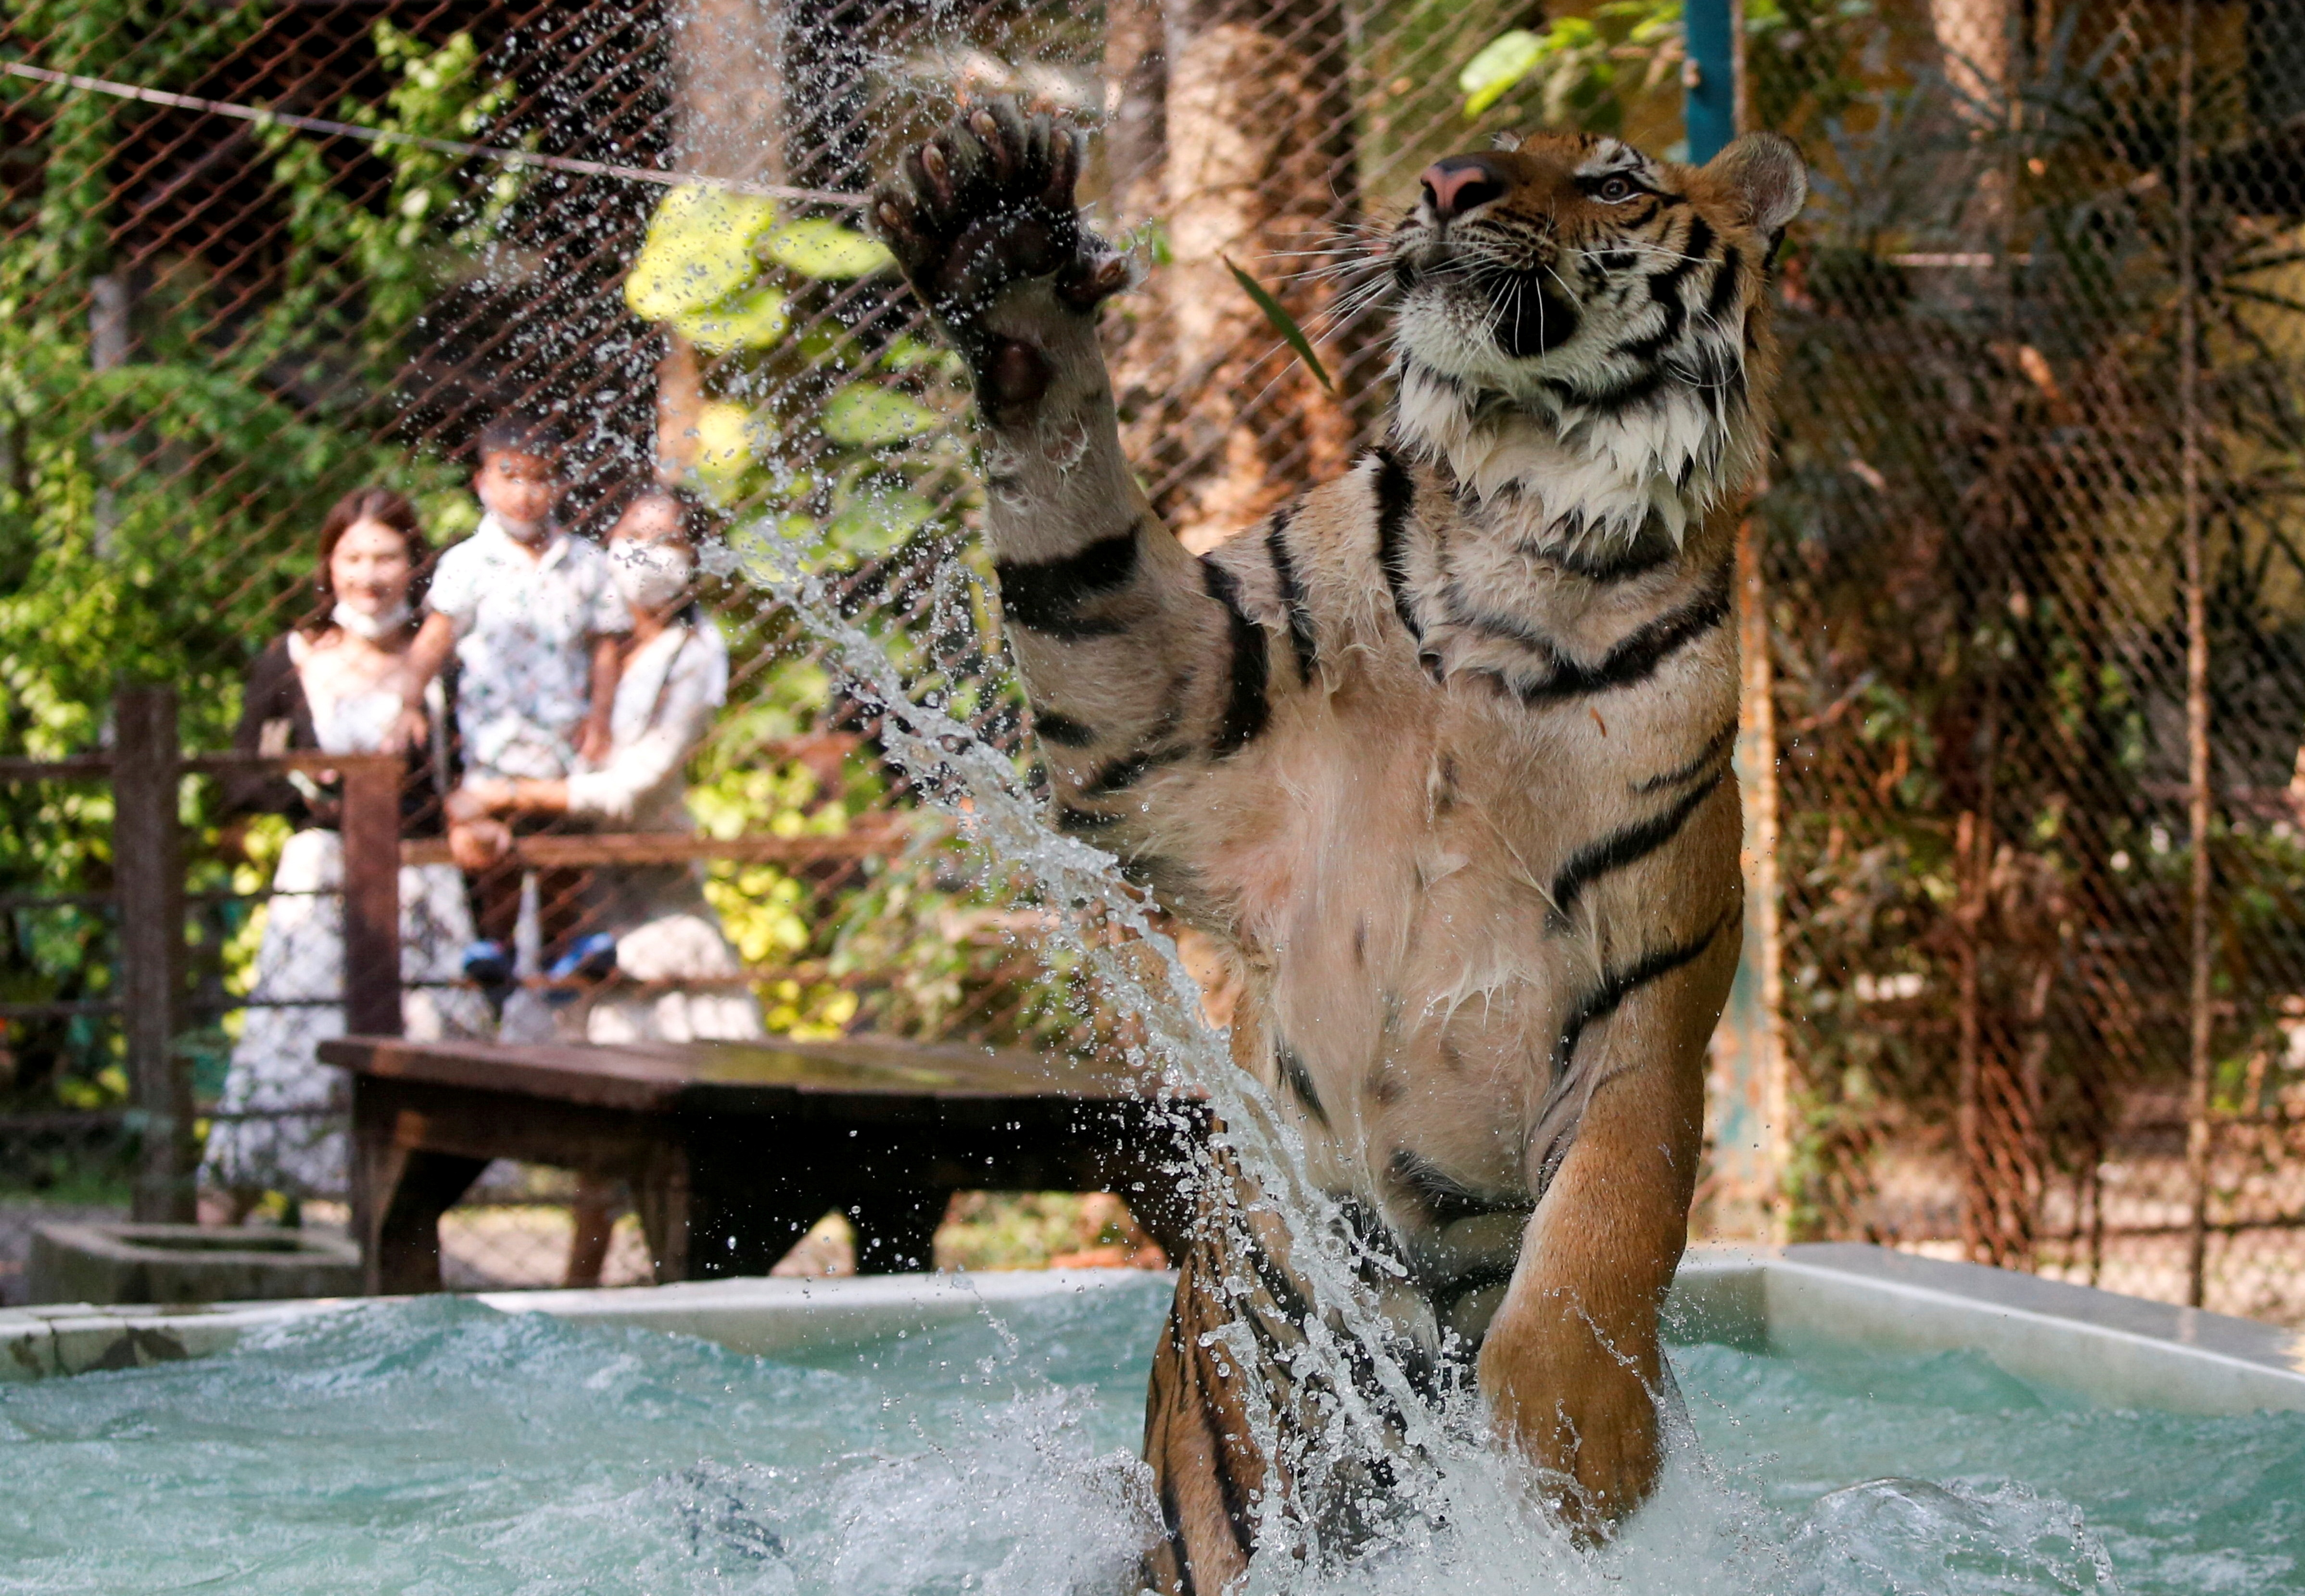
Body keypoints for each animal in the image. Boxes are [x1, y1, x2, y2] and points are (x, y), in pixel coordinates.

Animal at [870, 101, 1806, 1590]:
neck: (1527, 527)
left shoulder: (1648, 995)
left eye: (1613, 180)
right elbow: (1080, 547)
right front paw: (1002, 249)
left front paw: (1577, 1446)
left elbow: (1613, 1215)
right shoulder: (1174, 713)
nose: (1444, 180)